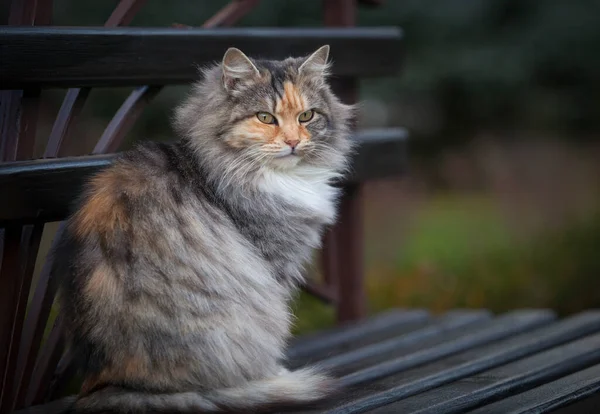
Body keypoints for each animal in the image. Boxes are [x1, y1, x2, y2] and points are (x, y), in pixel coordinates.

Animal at [54, 43, 354, 412]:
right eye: (265, 118)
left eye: (307, 116)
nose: (294, 142)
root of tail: (115, 382)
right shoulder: (273, 266)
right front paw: (275, 372)